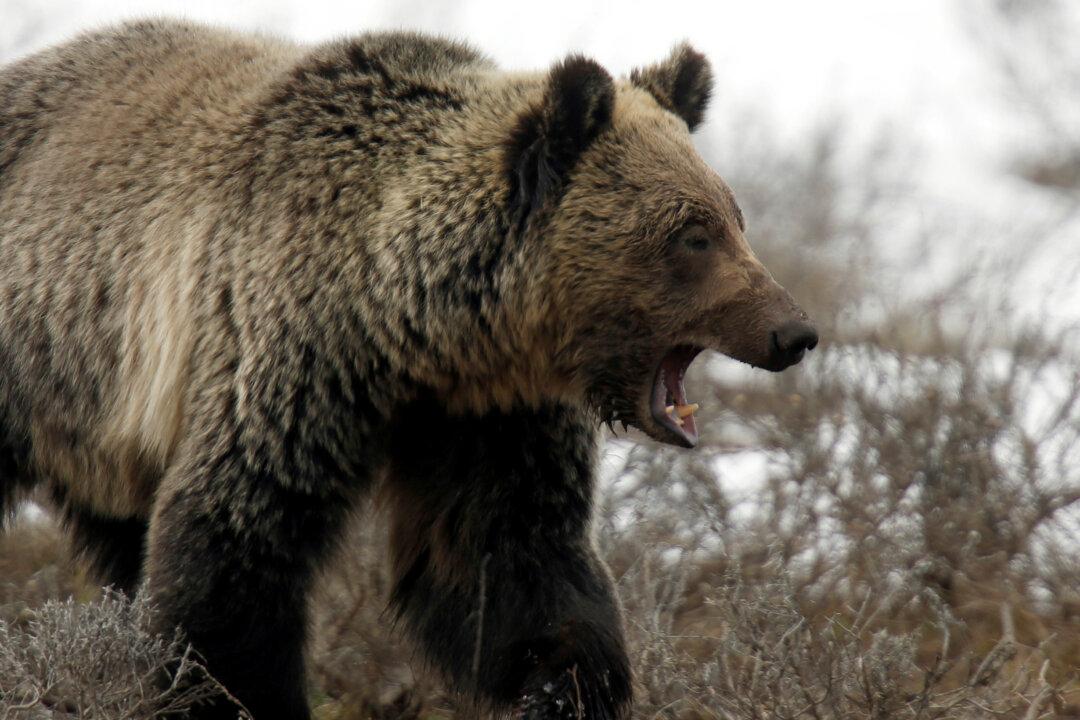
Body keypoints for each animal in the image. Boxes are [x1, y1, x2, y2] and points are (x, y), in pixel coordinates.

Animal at [0, 19, 817, 720]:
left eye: (734, 218)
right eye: (692, 235)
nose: (794, 330)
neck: (412, 328)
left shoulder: (487, 415)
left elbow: (508, 557)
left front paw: (563, 685)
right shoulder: (286, 357)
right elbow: (233, 544)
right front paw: (227, 692)